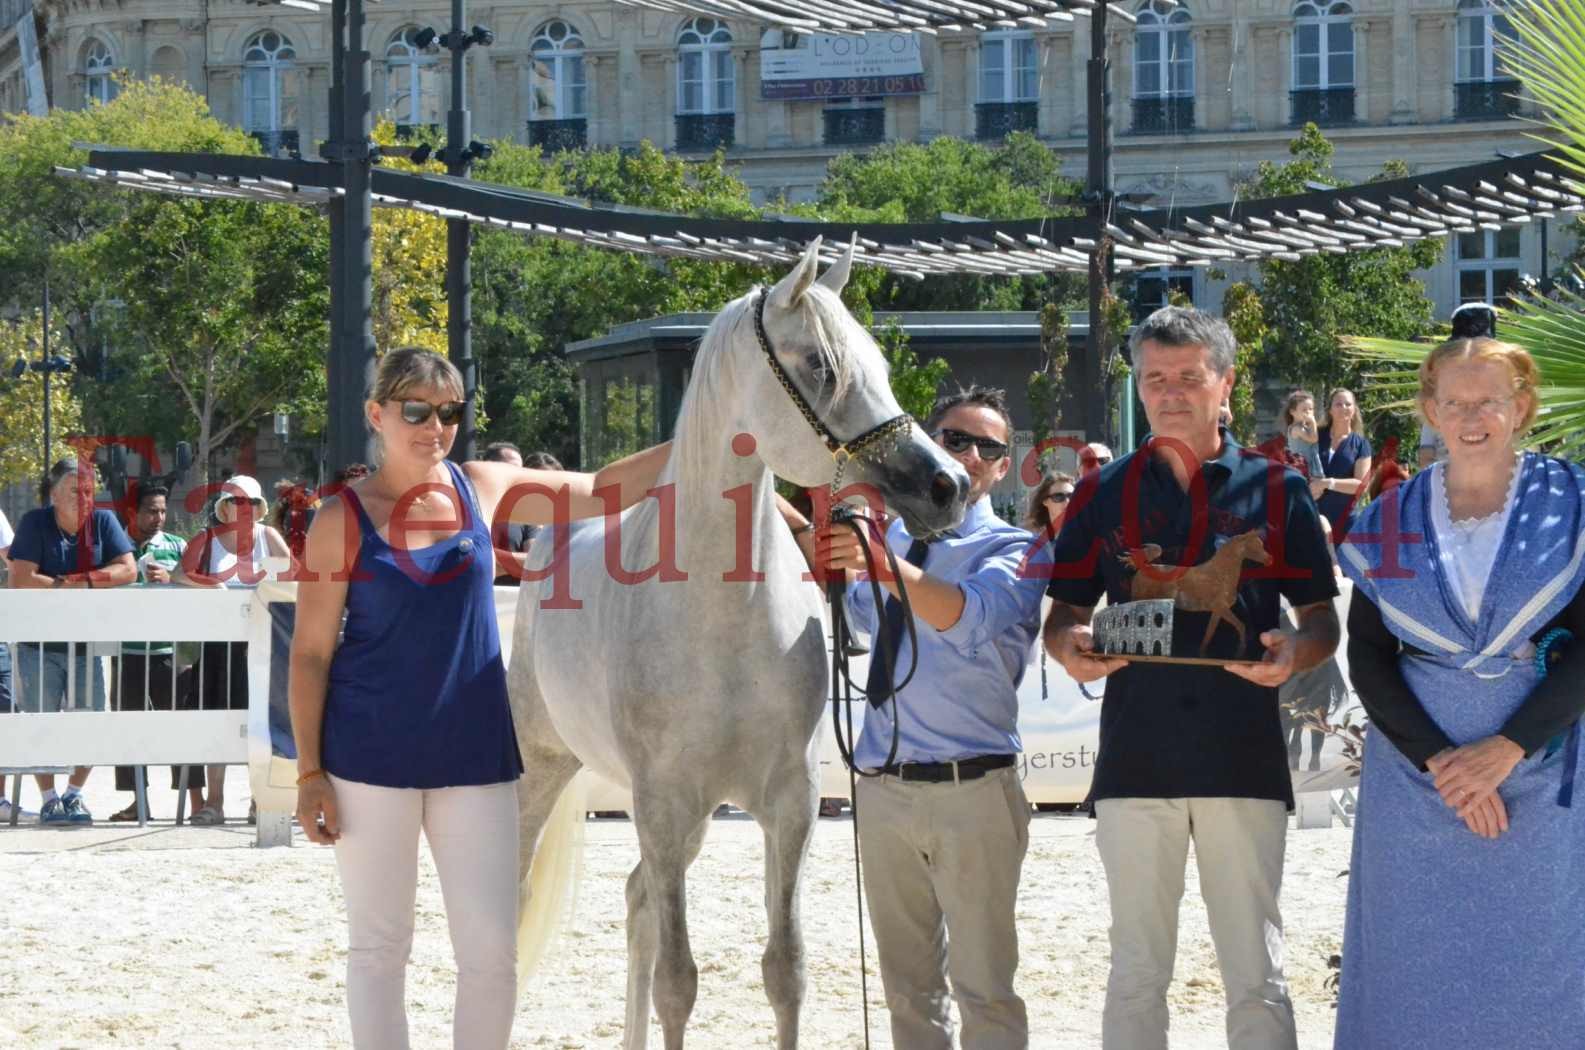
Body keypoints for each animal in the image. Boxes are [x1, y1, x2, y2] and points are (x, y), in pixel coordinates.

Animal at [513, 241, 970, 1050]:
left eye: (880, 363)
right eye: (820, 364)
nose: (946, 485)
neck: (719, 618)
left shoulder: (788, 806)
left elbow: (784, 970)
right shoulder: (664, 804)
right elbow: (678, 982)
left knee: (636, 901)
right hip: (545, 771)